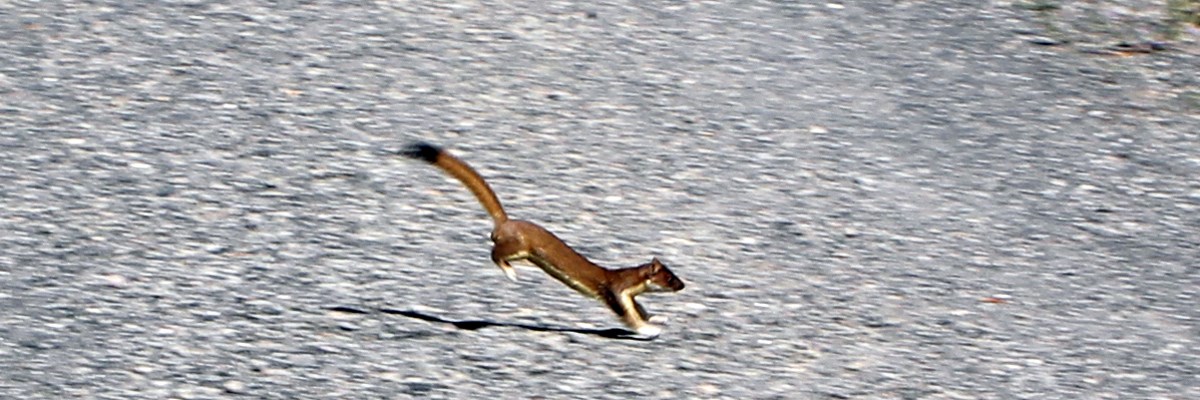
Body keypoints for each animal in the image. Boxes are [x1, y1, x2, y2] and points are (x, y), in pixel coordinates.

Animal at [403, 141, 686, 333]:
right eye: (670, 278)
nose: (683, 285)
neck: (628, 283)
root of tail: (506, 222)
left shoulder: (630, 296)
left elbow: (641, 310)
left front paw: (658, 318)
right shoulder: (615, 293)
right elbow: (628, 318)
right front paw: (649, 330)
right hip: (518, 244)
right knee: (495, 252)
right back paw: (511, 273)